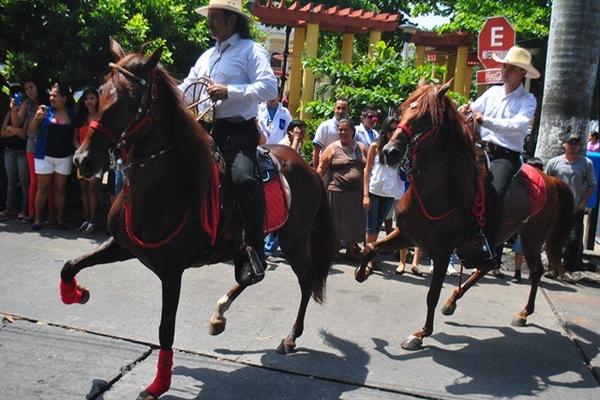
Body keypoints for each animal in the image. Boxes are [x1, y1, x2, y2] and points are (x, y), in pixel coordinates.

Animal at [59, 39, 338, 398]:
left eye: (129, 99)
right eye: (102, 92)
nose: (83, 160)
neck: (167, 182)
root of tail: (307, 165)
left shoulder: (171, 271)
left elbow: (165, 329)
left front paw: (158, 384)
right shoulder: (123, 245)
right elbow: (71, 265)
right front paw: (75, 294)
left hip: (293, 238)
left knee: (304, 279)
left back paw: (290, 337)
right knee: (255, 271)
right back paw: (220, 313)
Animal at [354, 81, 576, 350]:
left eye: (427, 118)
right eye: (401, 111)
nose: (390, 152)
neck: (437, 191)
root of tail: (551, 180)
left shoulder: (442, 251)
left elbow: (432, 295)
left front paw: (420, 334)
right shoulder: (407, 234)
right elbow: (371, 246)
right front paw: (362, 272)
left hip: (531, 238)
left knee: (534, 271)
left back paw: (523, 313)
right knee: (489, 263)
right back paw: (452, 302)